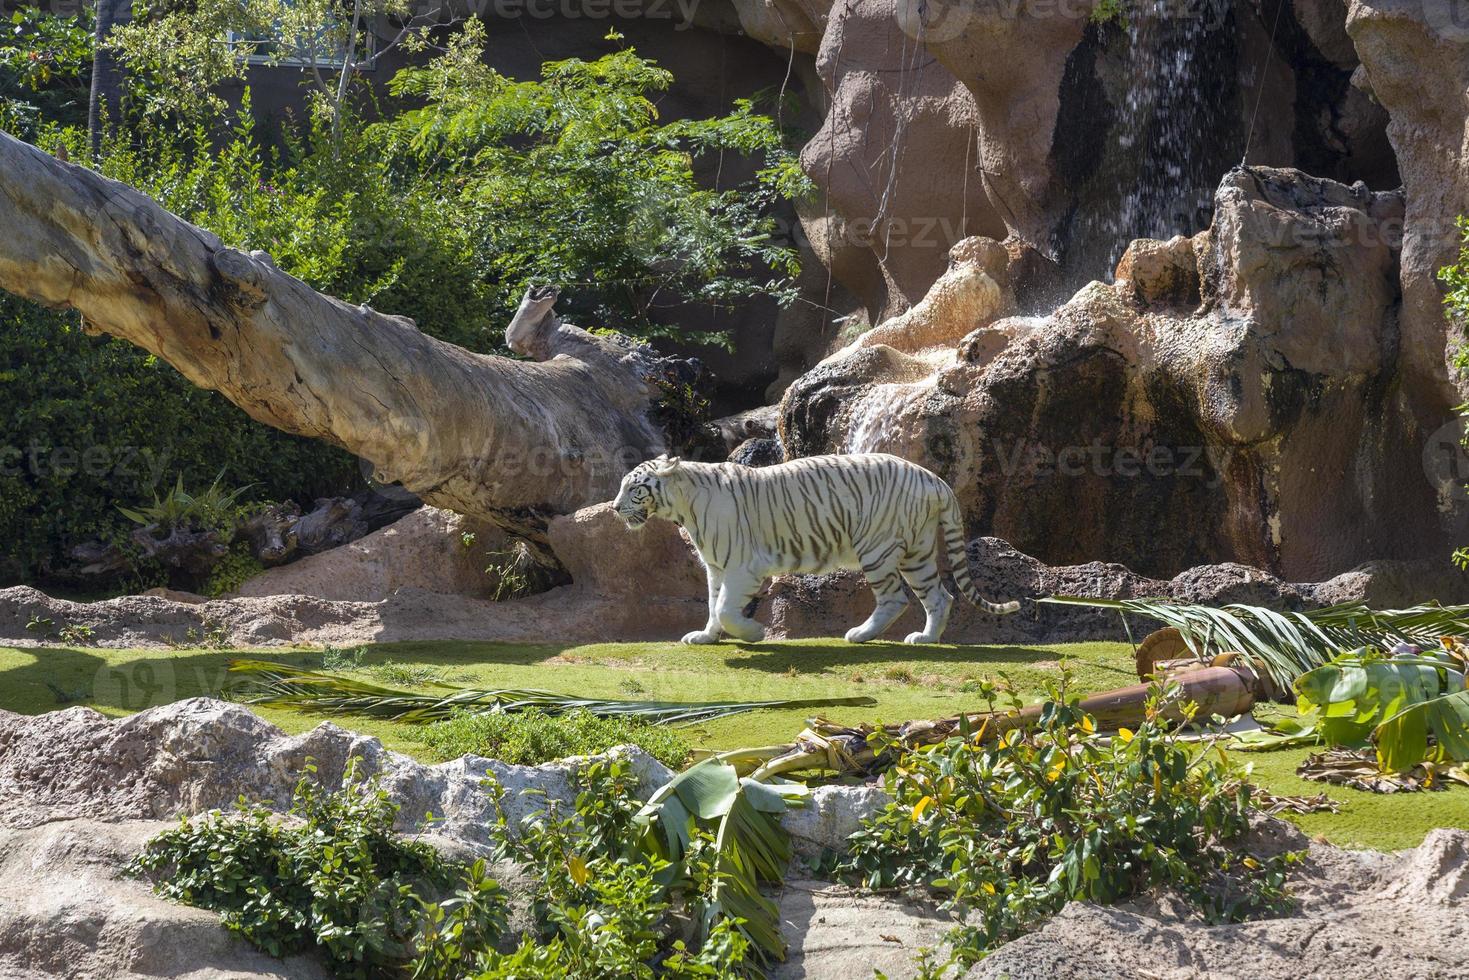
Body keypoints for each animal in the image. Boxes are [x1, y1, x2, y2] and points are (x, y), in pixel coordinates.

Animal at [614, 452, 1016, 643]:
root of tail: (933, 478)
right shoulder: (716, 567)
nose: (615, 508)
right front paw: (705, 637)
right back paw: (926, 638)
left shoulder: (743, 567)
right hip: (917, 552)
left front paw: (755, 633)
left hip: (877, 548)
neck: (683, 507)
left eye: (634, 487)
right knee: (939, 596)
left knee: (895, 598)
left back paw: (861, 635)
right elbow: (714, 605)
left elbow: (727, 608)